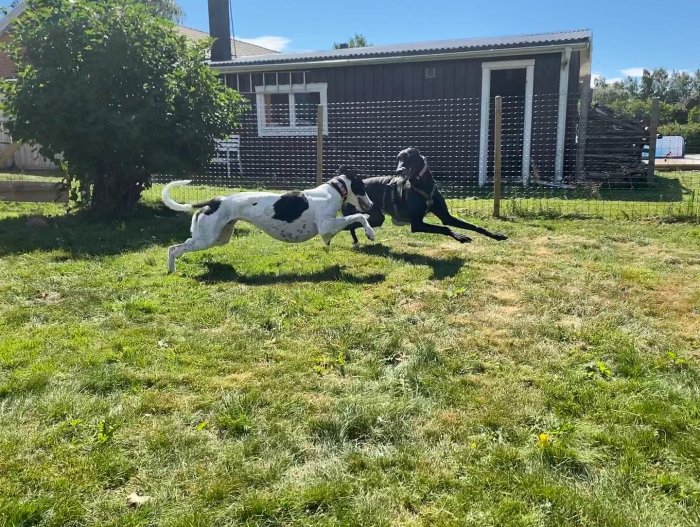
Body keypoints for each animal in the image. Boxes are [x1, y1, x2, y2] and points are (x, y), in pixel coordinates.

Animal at [161, 173, 374, 274]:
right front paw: (370, 232)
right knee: (174, 248)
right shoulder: (327, 227)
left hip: (218, 238)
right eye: (363, 186)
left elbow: (357, 217)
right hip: (206, 239)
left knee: (182, 246)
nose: (372, 205)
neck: (334, 190)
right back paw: (172, 269)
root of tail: (214, 201)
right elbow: (359, 217)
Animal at [342, 147, 506, 244]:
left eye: (408, 157)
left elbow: (474, 226)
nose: (398, 171)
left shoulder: (446, 217)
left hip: (376, 217)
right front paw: (459, 236)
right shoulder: (417, 224)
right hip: (375, 217)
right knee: (350, 225)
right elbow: (445, 228)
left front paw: (496, 235)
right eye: (398, 158)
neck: (422, 187)